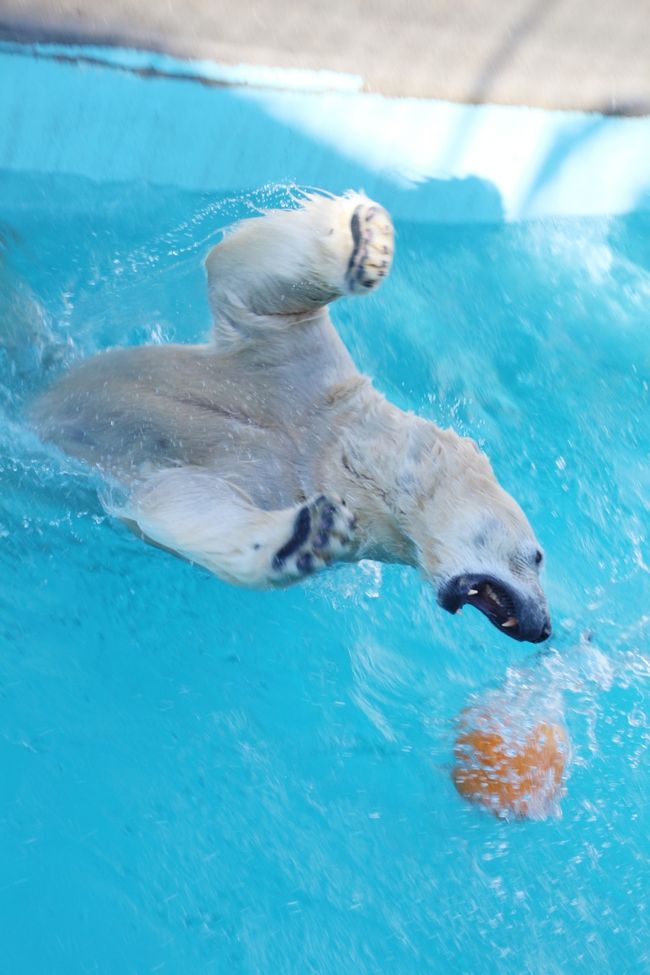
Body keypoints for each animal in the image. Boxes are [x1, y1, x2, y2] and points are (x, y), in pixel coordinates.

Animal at [29, 193, 548, 644]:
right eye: (538, 556)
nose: (543, 627)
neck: (330, 450)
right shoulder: (296, 372)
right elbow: (245, 281)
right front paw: (368, 243)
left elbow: (180, 499)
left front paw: (303, 539)